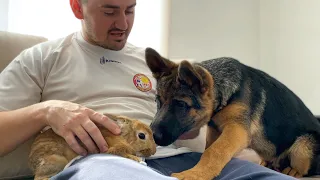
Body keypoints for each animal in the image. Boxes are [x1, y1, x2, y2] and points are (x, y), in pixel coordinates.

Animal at [28, 114, 156, 180]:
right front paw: (136, 159)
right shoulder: (113, 148)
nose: (153, 151)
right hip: (56, 160)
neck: (124, 137)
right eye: (142, 135)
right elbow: (122, 153)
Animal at [145, 47, 320, 179]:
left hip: (302, 146)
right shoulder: (215, 130)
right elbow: (209, 148)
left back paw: (292, 170)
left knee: (306, 169)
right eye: (157, 101)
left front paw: (194, 174)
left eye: (181, 104)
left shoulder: (237, 130)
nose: (152, 136)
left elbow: (215, 151)